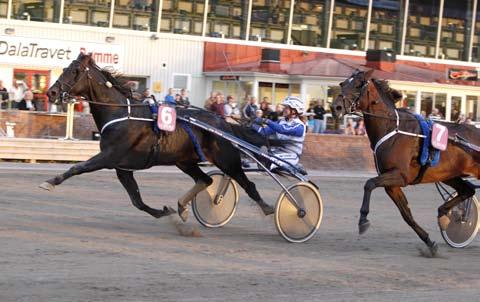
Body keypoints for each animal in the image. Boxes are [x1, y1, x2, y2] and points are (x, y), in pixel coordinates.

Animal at [43, 53, 276, 225]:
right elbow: (136, 200)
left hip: (227, 159)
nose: (51, 93)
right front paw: (165, 211)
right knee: (206, 180)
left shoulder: (108, 156)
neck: (121, 113)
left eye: (75, 71)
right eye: (65, 69)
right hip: (185, 161)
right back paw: (182, 207)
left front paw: (51, 181)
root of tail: (223, 123)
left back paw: (270, 208)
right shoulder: (122, 167)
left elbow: (78, 167)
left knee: (248, 184)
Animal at [334, 70, 480, 255]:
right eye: (342, 83)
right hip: (450, 174)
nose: (336, 107)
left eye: (358, 84)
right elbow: (406, 215)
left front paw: (363, 220)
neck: (392, 128)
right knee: (467, 190)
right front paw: (429, 242)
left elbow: (369, 184)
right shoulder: (392, 184)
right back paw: (443, 215)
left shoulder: (400, 175)